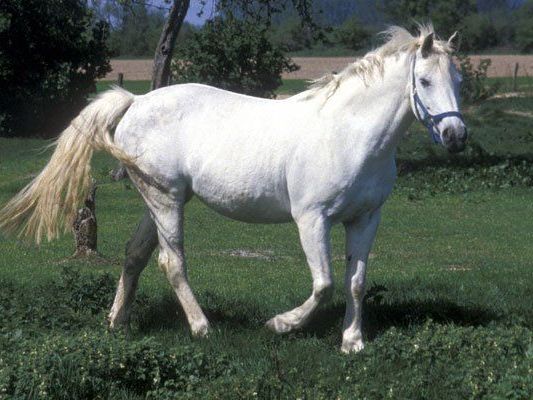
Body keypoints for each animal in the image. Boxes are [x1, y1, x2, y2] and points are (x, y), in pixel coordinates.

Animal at [0, 25, 466, 352]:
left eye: (459, 80)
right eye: (425, 81)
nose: (455, 136)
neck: (349, 134)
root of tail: (136, 102)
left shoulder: (366, 219)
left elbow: (355, 282)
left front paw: (352, 342)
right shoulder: (312, 220)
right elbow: (324, 285)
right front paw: (279, 325)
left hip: (157, 201)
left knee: (135, 256)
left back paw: (117, 324)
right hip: (166, 200)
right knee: (171, 262)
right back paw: (203, 328)